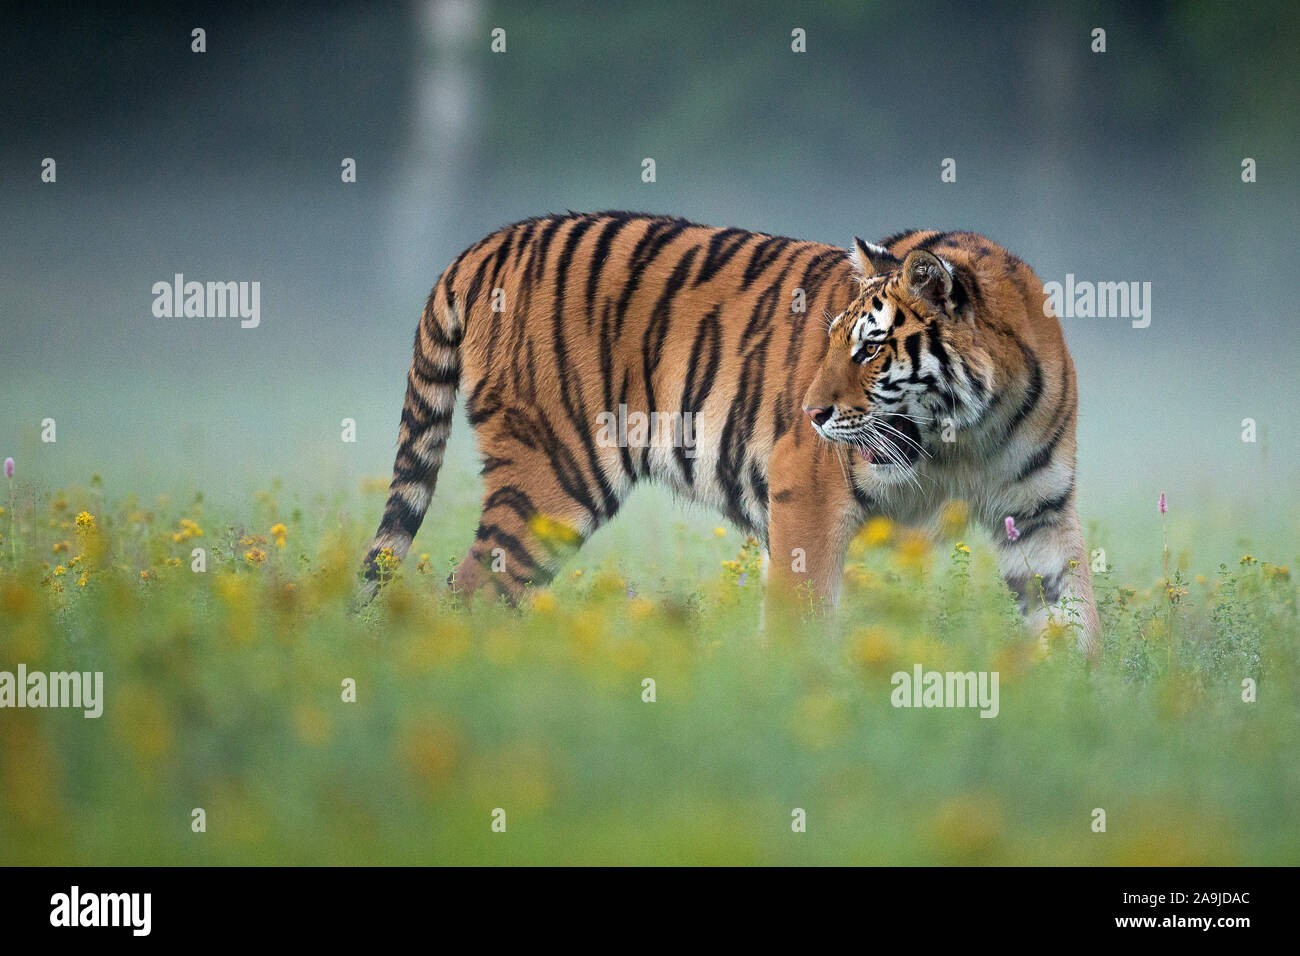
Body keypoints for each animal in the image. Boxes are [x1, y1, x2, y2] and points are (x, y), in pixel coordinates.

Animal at [361, 211, 1100, 657]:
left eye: (869, 350)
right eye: (832, 344)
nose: (810, 414)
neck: (965, 435)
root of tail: (486, 244)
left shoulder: (1040, 512)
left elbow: (1077, 619)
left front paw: (1083, 710)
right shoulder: (808, 490)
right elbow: (801, 617)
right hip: (554, 478)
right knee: (472, 588)